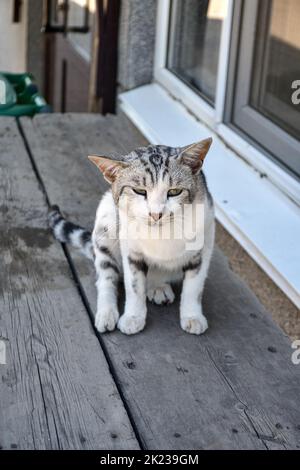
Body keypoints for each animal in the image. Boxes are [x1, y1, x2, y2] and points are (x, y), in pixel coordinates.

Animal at [48, 138, 213, 336]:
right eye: (139, 191)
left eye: (174, 192)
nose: (156, 214)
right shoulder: (130, 249)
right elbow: (133, 285)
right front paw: (133, 317)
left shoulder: (204, 243)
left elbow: (194, 287)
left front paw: (192, 316)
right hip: (106, 220)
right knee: (105, 276)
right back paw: (107, 312)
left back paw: (158, 286)